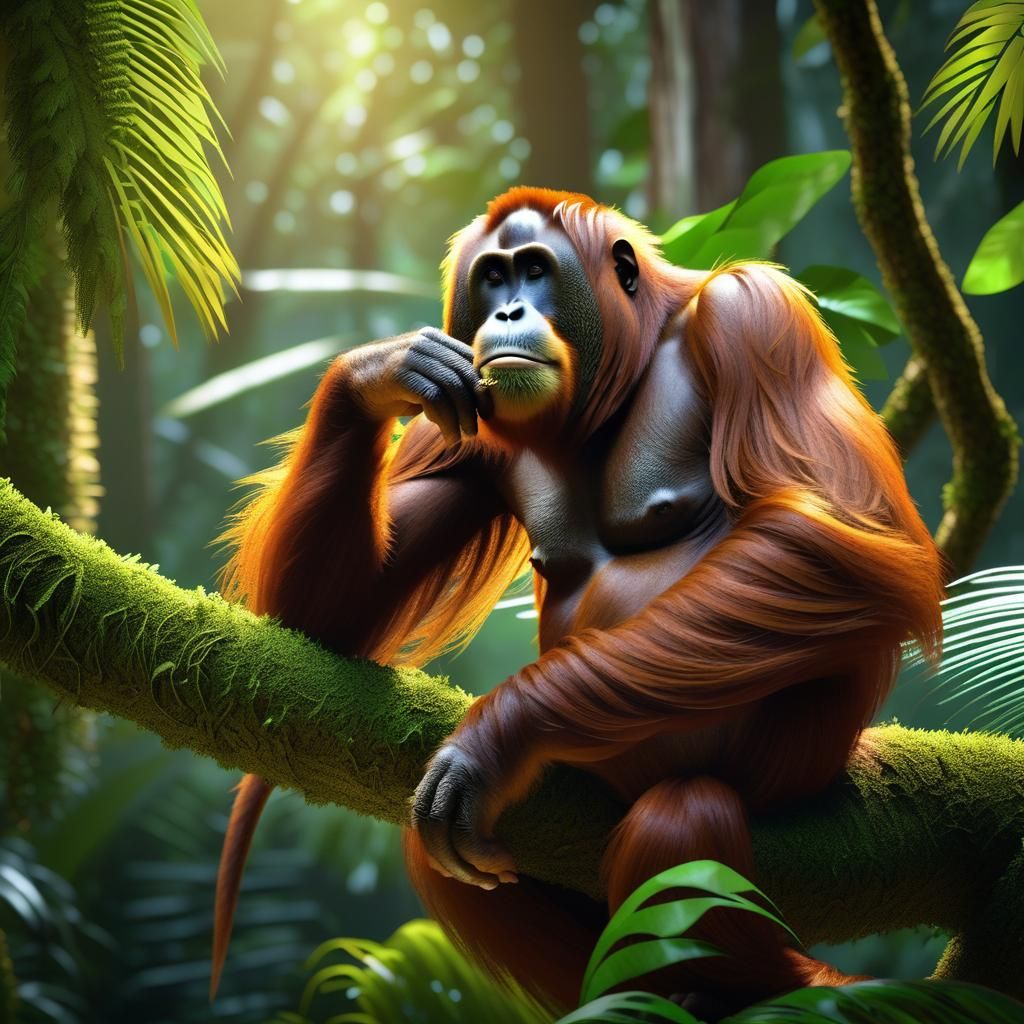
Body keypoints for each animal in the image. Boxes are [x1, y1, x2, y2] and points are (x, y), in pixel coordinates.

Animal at [211, 187, 944, 1014]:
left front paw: (495, 735)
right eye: (492, 278)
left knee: (682, 819)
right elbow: (323, 620)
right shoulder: (461, 411)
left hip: (796, 763)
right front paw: (377, 370)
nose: (507, 312)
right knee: (437, 851)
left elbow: (840, 542)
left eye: (535, 270)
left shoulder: (756, 316)